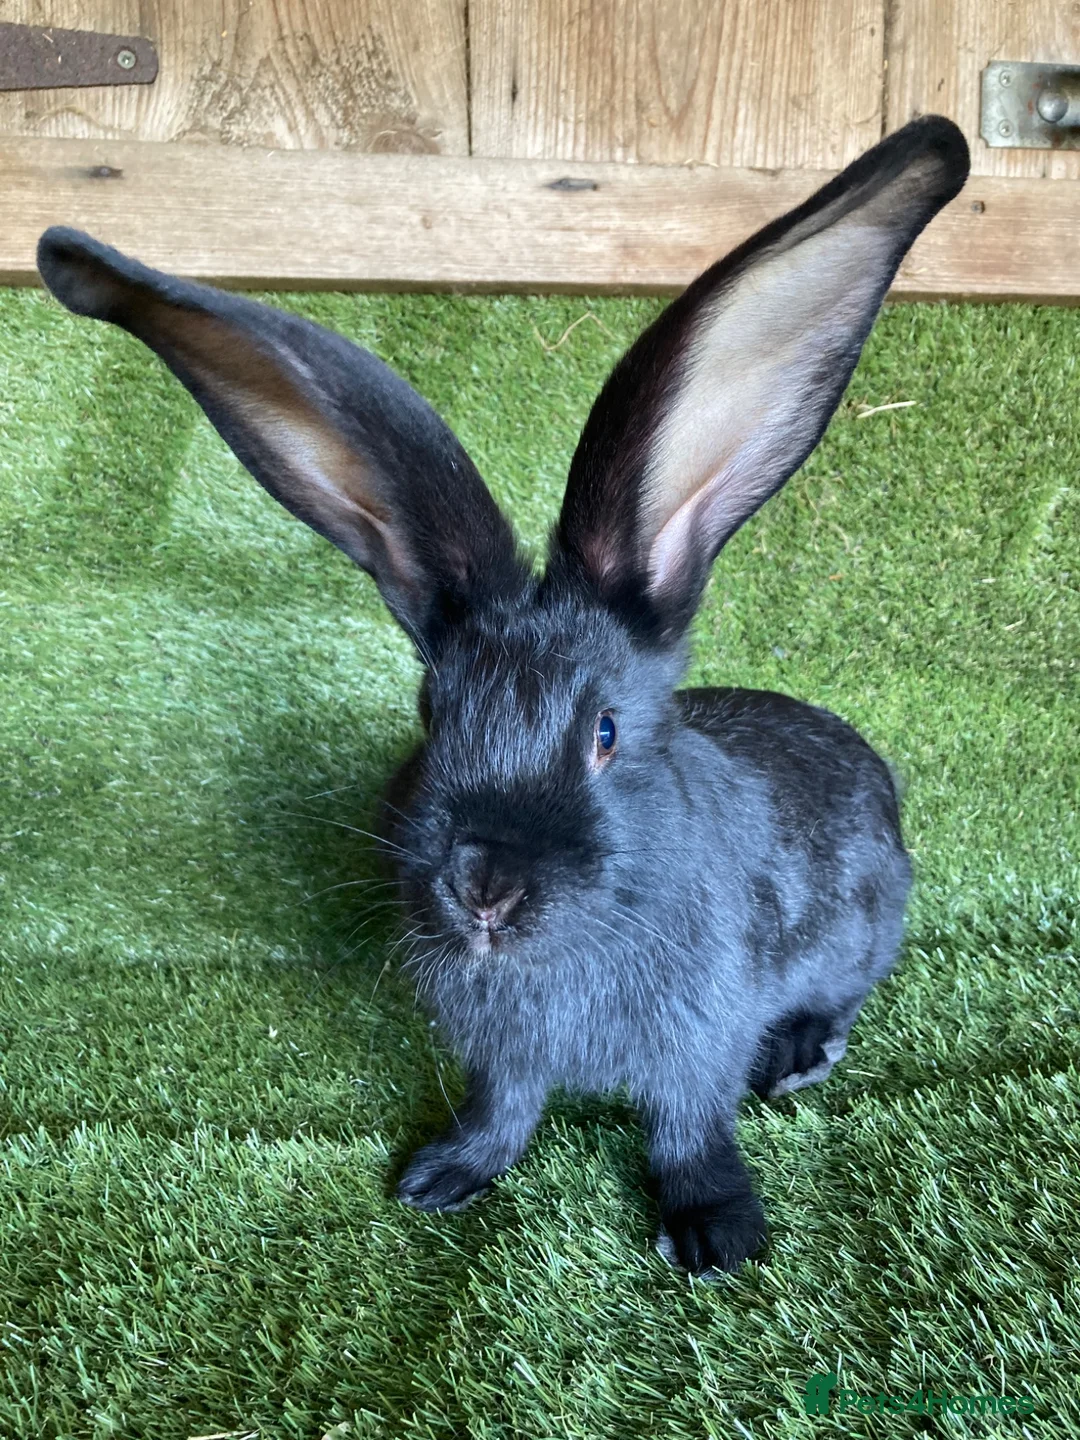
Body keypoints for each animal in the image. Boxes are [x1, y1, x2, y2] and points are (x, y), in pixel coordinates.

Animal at [36, 114, 969, 1276]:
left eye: (606, 732)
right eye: (433, 718)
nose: (482, 886)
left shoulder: (698, 1042)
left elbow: (689, 1129)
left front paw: (716, 1235)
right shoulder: (502, 1059)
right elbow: (503, 1114)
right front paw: (440, 1179)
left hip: (866, 926)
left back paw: (798, 1055)